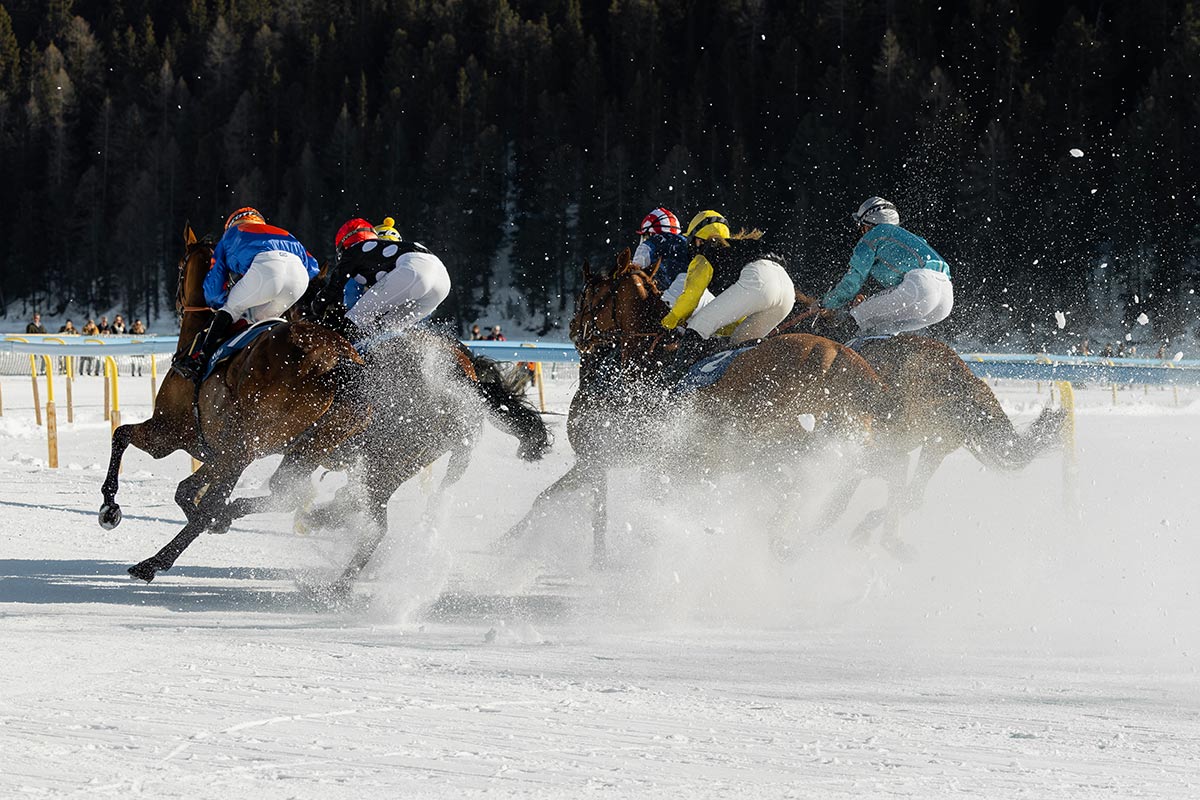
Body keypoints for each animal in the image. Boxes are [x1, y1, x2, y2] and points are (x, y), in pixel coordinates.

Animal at [101, 225, 367, 582]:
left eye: (180, 268)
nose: (176, 300)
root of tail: (338, 360)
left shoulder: (168, 432)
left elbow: (121, 435)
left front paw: (109, 508)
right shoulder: (216, 451)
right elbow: (185, 489)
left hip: (249, 442)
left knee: (226, 501)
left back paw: (154, 561)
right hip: (309, 446)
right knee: (286, 492)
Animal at [492, 250, 897, 563]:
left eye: (588, 294)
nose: (575, 330)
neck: (641, 357)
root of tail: (841, 356)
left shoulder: (604, 456)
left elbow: (582, 508)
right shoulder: (616, 460)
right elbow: (560, 501)